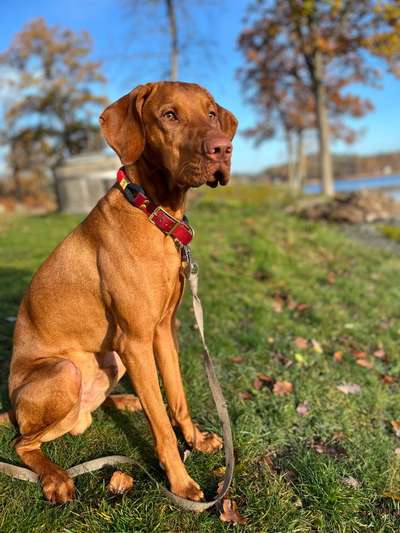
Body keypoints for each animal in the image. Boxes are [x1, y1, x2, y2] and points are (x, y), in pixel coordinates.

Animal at [5, 81, 238, 500]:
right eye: (169, 115)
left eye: (211, 113)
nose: (222, 148)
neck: (153, 214)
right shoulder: (136, 339)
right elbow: (160, 423)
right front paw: (180, 482)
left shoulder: (162, 331)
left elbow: (176, 398)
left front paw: (195, 440)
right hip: (67, 370)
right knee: (22, 443)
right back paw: (55, 477)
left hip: (112, 359)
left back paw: (125, 400)